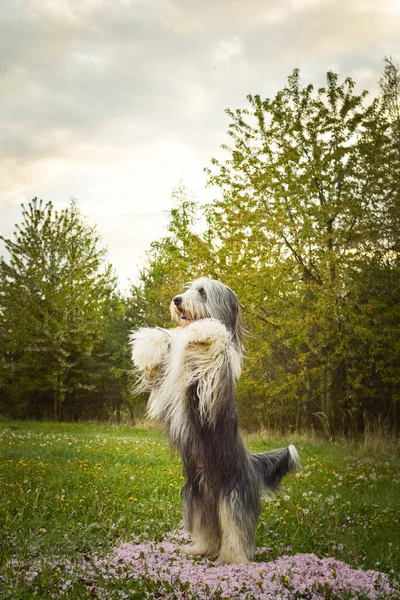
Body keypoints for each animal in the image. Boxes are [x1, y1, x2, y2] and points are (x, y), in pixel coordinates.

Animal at [131, 276, 300, 564]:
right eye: (189, 288)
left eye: (202, 291)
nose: (177, 300)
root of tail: (250, 462)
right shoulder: (166, 385)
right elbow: (163, 350)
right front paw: (149, 344)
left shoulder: (211, 387)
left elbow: (212, 340)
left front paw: (203, 331)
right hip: (198, 498)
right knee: (209, 529)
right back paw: (199, 548)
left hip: (233, 496)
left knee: (236, 531)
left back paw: (233, 558)